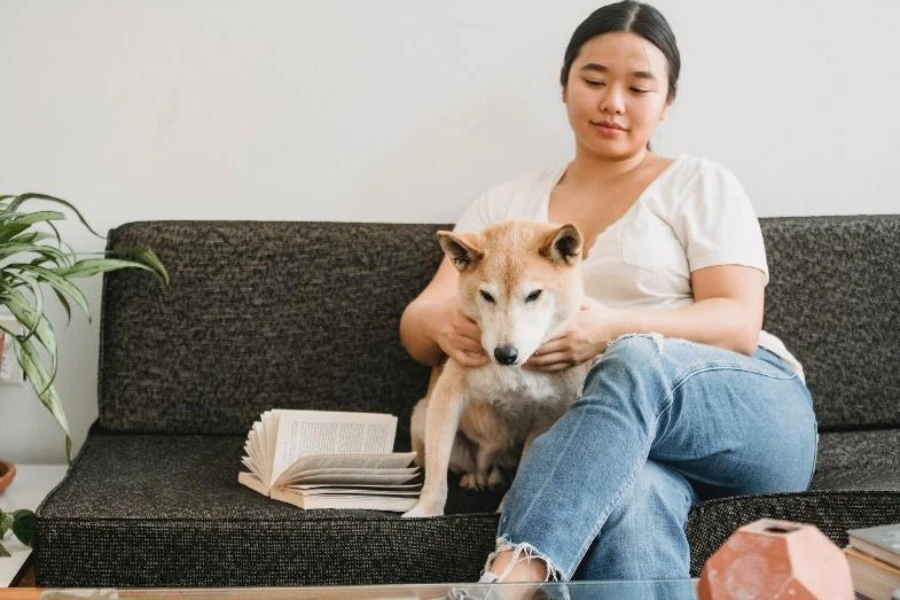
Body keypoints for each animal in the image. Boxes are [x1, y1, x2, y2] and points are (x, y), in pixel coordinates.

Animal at [404, 220, 596, 520]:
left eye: (534, 295)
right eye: (487, 296)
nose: (505, 354)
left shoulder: (549, 414)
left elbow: (524, 473)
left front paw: (507, 507)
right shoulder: (448, 397)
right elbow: (436, 474)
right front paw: (426, 510)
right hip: (423, 415)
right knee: (468, 465)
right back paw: (476, 477)